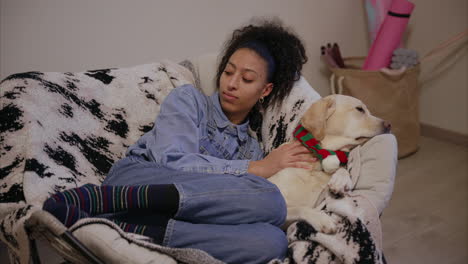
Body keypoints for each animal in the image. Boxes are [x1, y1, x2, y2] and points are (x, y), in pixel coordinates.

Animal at [268, 94, 390, 233]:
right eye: (359, 109)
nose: (389, 125)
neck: (316, 165)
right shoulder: (275, 210)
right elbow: (299, 208)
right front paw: (321, 218)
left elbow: (342, 169)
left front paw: (340, 181)